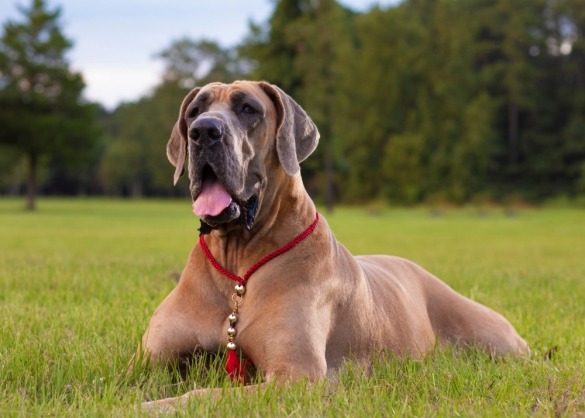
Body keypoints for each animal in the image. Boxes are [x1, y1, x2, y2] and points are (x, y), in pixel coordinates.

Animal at [139, 81, 528, 408]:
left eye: (248, 109)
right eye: (194, 111)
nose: (204, 131)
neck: (237, 266)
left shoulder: (294, 376)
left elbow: (202, 394)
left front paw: (152, 407)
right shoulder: (148, 360)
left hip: (492, 337)